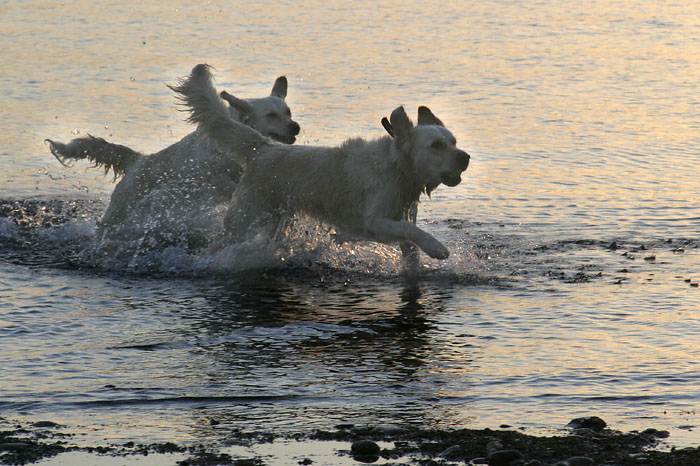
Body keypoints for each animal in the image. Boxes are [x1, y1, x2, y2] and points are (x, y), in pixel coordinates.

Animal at [46, 73, 298, 253]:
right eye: (271, 115)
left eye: (288, 112)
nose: (295, 127)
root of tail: (138, 159)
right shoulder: (212, 178)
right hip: (120, 210)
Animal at [171, 65, 470, 260]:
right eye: (436, 145)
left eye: (454, 141)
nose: (465, 157)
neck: (396, 167)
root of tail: (263, 148)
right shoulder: (375, 219)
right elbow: (409, 230)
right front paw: (435, 247)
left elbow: (408, 245)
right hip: (245, 219)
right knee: (219, 245)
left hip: (278, 220)